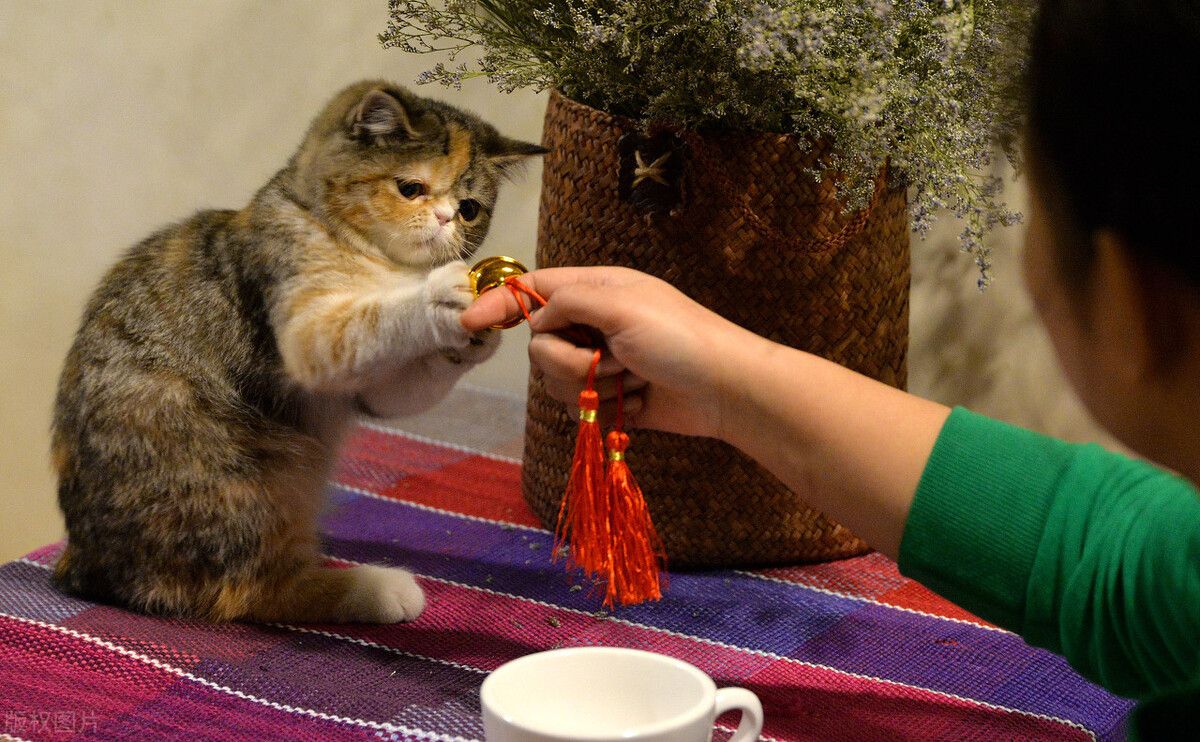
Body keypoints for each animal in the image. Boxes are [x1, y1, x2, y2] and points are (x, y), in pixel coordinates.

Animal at [51, 79, 547, 624]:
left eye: (469, 208)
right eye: (411, 188)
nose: (443, 219)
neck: (378, 263)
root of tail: (87, 564)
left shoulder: (374, 387)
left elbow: (406, 385)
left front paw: (477, 334)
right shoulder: (305, 332)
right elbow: (374, 319)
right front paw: (441, 295)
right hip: (251, 486)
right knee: (257, 590)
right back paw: (378, 588)